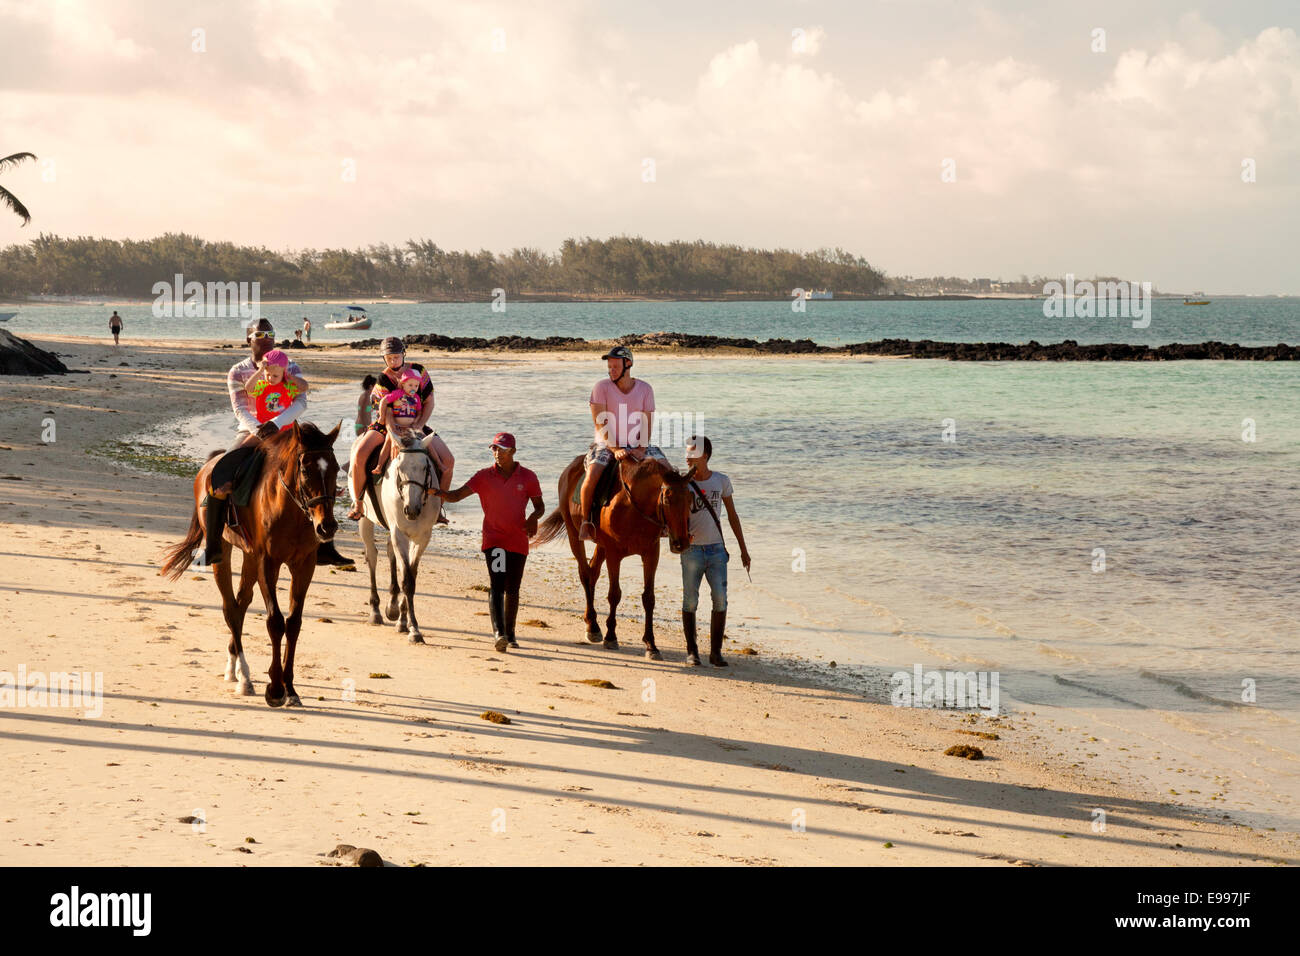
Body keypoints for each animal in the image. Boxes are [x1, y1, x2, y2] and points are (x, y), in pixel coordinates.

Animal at [161, 421, 340, 707]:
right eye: (305, 470)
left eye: (336, 468)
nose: (327, 527)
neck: (292, 512)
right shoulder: (268, 562)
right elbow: (275, 621)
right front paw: (276, 689)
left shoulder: (304, 565)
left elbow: (294, 623)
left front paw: (290, 688)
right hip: (224, 550)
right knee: (230, 608)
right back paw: (244, 677)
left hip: (249, 557)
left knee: (241, 602)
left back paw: (234, 667)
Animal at [356, 434, 441, 642]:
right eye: (399, 467)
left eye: (426, 467)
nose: (411, 509)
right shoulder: (399, 533)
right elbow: (407, 581)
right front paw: (414, 630)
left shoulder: (422, 537)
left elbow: (410, 574)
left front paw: (404, 621)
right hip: (365, 519)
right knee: (372, 556)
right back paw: (375, 611)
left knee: (390, 554)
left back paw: (393, 607)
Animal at [533, 455, 696, 658]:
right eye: (667, 499)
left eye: (690, 499)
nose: (682, 542)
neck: (634, 508)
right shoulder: (614, 554)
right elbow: (614, 594)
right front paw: (611, 637)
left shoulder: (651, 554)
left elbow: (649, 598)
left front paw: (651, 644)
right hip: (574, 535)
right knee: (585, 574)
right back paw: (593, 627)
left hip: (601, 546)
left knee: (593, 572)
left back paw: (590, 622)